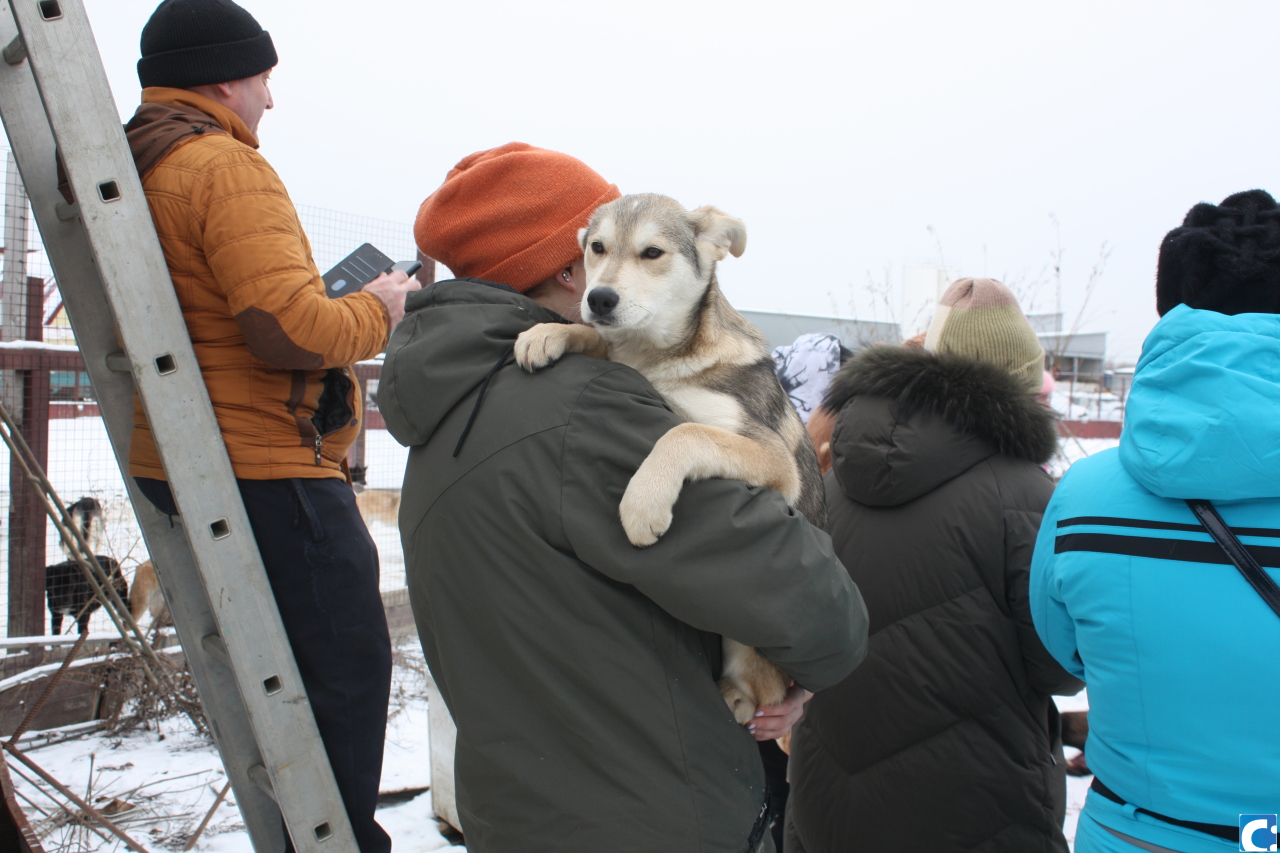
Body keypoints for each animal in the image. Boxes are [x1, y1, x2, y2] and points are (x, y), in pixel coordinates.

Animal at [514, 190, 824, 717]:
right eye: (596, 247)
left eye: (653, 253)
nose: (599, 298)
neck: (657, 361)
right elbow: (597, 338)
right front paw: (546, 334)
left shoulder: (774, 459)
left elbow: (684, 434)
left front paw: (643, 505)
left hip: (750, 654)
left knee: (762, 691)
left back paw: (736, 699)